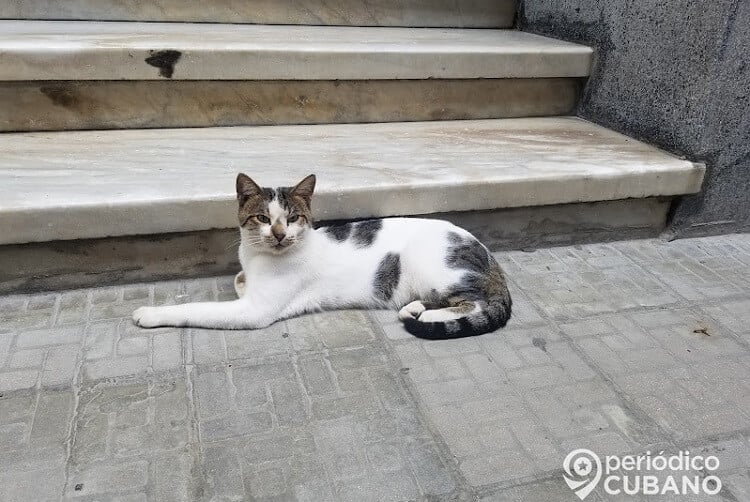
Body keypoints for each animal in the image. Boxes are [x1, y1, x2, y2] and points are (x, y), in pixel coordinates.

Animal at [132, 174, 516, 342]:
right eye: (262, 218)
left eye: (292, 218)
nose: (279, 234)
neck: (256, 256)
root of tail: (487, 253)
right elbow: (238, 279)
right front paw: (242, 279)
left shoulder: (254, 311)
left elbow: (194, 309)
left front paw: (149, 314)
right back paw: (413, 308)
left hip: (430, 266)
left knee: (474, 303)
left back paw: (427, 313)